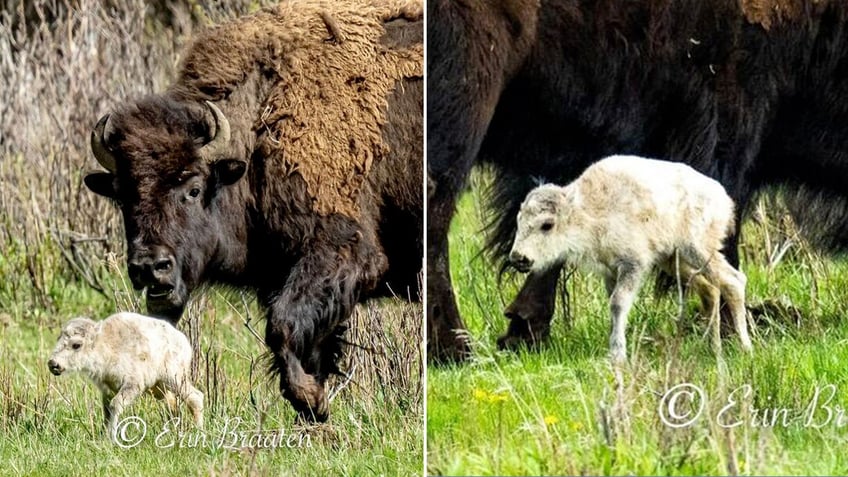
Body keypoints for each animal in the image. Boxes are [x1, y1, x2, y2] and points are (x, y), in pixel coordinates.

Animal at [48, 310, 204, 440]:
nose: (53, 364)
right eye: (58, 339)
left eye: (76, 345)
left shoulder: (133, 384)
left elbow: (115, 405)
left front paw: (111, 438)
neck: (105, 345)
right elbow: (107, 411)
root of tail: (184, 342)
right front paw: (102, 436)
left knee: (195, 397)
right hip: (159, 388)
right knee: (173, 405)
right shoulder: (107, 389)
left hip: (174, 378)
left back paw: (198, 431)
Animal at [84, 2, 422, 420]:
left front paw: (310, 398)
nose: (151, 267)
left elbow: (282, 327)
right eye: (121, 196)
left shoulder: (345, 252)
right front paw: (315, 406)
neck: (260, 129)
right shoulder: (282, 275)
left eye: (194, 189)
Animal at [510, 155, 756, 360]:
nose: (519, 258)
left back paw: (745, 347)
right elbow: (613, 303)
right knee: (710, 289)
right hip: (675, 260)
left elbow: (618, 303)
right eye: (519, 221)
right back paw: (712, 348)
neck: (589, 210)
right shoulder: (611, 271)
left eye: (547, 225)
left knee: (733, 280)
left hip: (697, 250)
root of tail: (723, 199)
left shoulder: (633, 264)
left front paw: (618, 354)